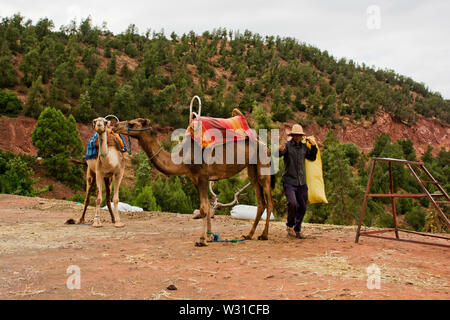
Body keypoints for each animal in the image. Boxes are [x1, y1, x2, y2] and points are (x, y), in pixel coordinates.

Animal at [112, 119, 274, 246]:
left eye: (132, 123)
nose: (114, 126)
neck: (183, 159)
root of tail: (266, 146)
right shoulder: (195, 179)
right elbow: (207, 206)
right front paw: (209, 237)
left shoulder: (202, 177)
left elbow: (203, 208)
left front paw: (202, 240)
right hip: (252, 169)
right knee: (261, 202)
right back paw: (248, 235)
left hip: (263, 167)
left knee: (269, 201)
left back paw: (264, 235)